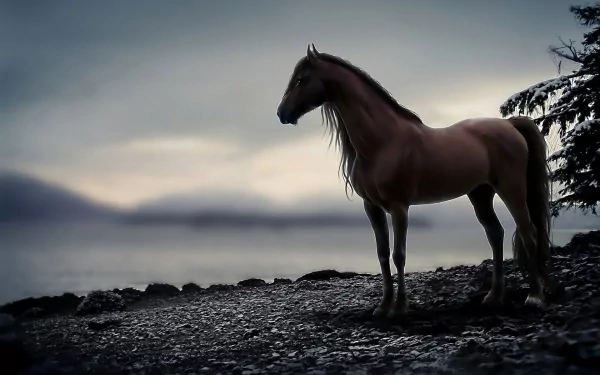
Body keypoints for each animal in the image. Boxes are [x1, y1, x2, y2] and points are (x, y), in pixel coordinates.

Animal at [276, 43, 552, 320]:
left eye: (301, 79)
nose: (281, 113)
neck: (383, 142)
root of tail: (510, 125)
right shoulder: (372, 208)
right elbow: (382, 254)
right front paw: (383, 306)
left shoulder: (399, 207)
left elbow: (399, 255)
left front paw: (399, 307)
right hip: (480, 194)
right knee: (495, 234)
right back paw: (493, 297)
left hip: (511, 189)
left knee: (529, 233)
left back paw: (535, 297)